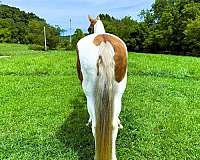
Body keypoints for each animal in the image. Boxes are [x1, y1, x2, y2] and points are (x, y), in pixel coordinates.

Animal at [76, 15, 127, 160]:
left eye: (89, 28)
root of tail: (104, 41)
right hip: (118, 93)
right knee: (113, 125)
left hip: (90, 93)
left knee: (95, 125)